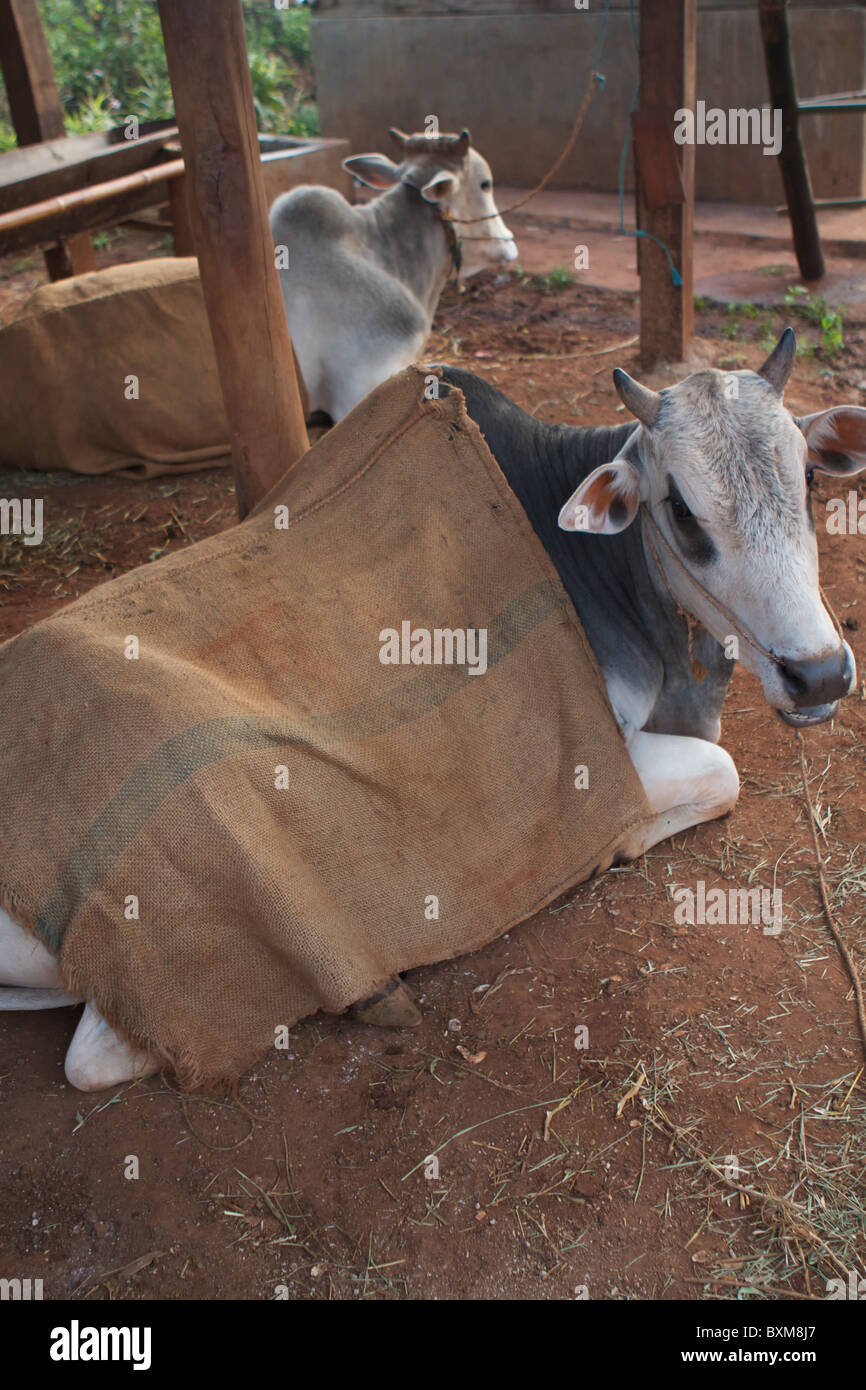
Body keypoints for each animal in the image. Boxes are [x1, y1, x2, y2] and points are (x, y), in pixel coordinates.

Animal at [2, 329, 864, 1090]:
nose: (819, 674)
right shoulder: (605, 747)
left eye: (809, 483)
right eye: (682, 510)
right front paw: (612, 845)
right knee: (102, 1053)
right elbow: (721, 775)